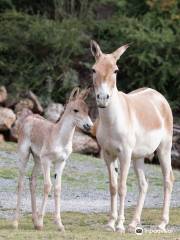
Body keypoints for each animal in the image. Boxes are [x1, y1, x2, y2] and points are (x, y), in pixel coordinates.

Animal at [12, 88, 93, 231]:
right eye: (76, 110)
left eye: (87, 109)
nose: (89, 126)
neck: (60, 138)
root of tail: (29, 117)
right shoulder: (47, 161)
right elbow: (47, 186)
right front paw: (41, 223)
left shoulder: (61, 162)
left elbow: (57, 188)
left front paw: (59, 225)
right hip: (25, 155)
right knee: (20, 183)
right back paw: (16, 222)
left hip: (37, 159)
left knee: (32, 181)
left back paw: (34, 220)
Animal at [90, 40, 174, 232]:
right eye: (94, 69)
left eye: (115, 70)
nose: (103, 98)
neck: (112, 120)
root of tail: (157, 95)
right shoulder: (107, 154)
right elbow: (113, 187)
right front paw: (111, 223)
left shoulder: (125, 154)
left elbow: (122, 187)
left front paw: (119, 225)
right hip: (139, 157)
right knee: (144, 184)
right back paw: (133, 223)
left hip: (164, 149)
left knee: (168, 180)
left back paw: (161, 224)